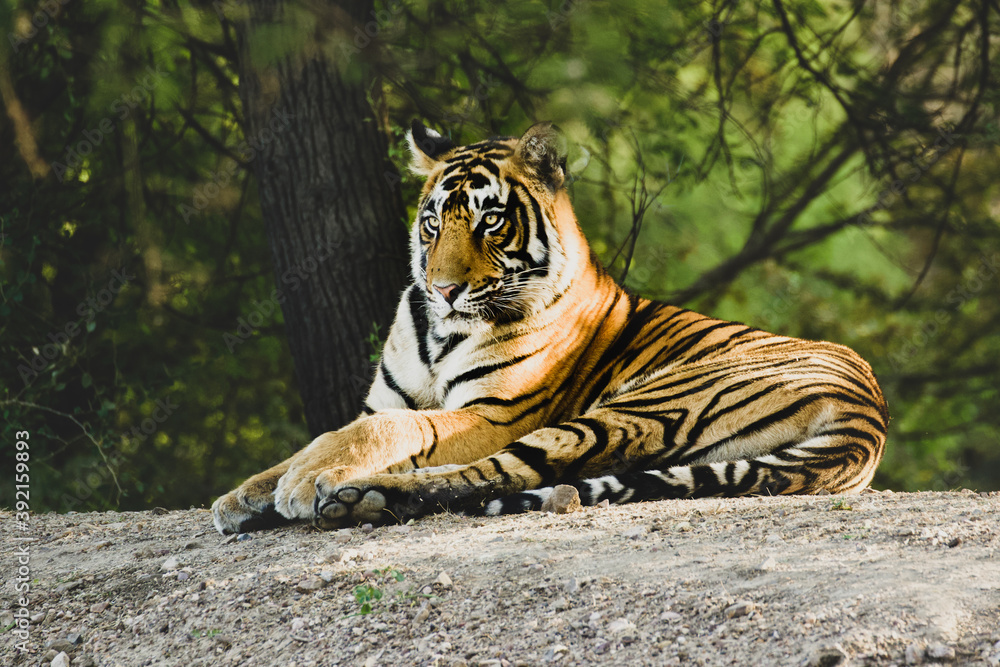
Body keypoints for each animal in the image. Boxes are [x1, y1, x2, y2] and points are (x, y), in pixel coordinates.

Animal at [211, 121, 888, 535]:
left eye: (489, 221)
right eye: (432, 222)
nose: (444, 289)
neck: (435, 333)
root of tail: (867, 420)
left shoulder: (493, 414)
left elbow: (392, 430)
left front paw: (300, 484)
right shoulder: (379, 403)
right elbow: (327, 435)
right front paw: (245, 495)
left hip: (638, 408)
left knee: (499, 474)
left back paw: (358, 495)